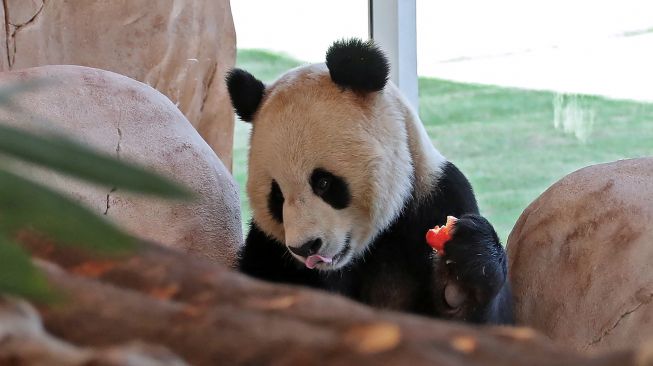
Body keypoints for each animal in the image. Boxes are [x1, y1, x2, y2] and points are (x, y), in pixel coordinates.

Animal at [227, 38, 512, 324]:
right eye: (277, 196)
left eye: (323, 183)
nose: (305, 248)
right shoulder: (269, 248)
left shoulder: (440, 196)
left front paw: (460, 282)